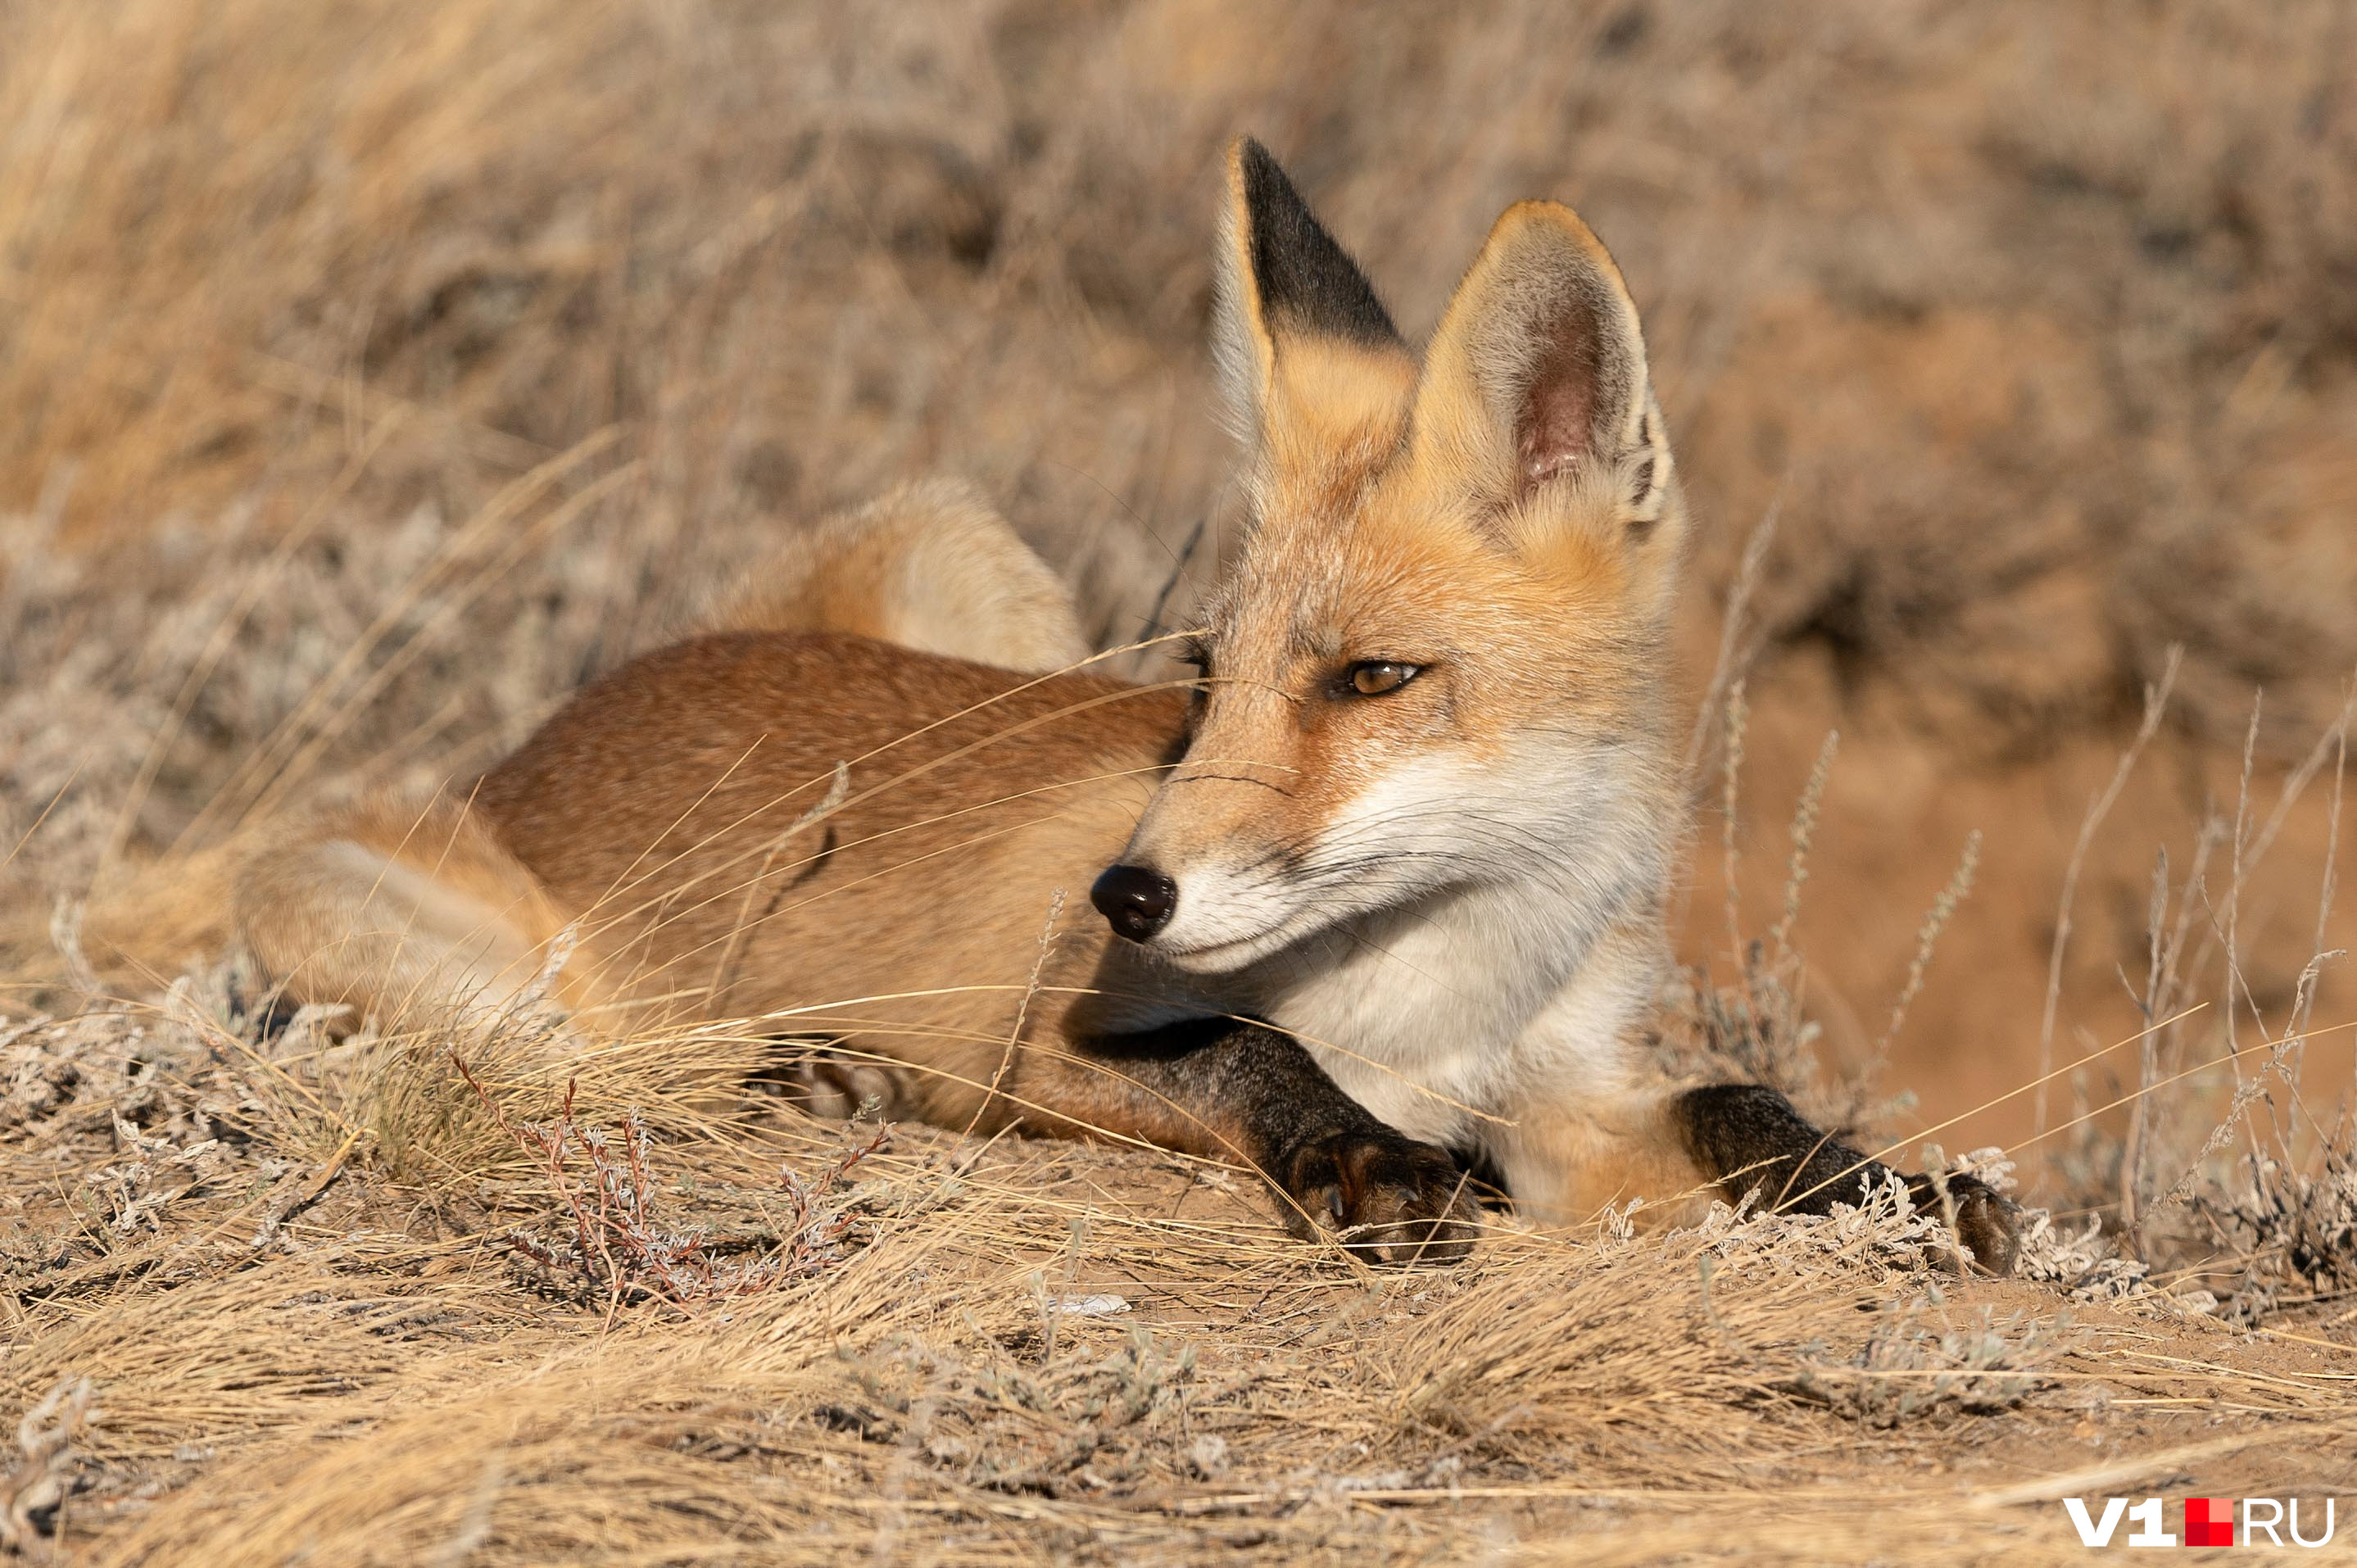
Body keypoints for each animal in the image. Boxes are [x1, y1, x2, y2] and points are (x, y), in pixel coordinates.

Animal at [224, 137, 2027, 1273]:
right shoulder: (1052, 1039)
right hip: (374, 918)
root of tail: (559, 726)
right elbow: (1244, 1050)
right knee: (611, 1062)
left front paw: (1897, 1191)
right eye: (1206, 675)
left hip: (966, 557)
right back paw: (817, 1073)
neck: (1447, 990)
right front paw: (1366, 1158)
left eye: (1372, 678)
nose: (1127, 891)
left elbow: (1740, 1101)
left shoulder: (1568, 1098)